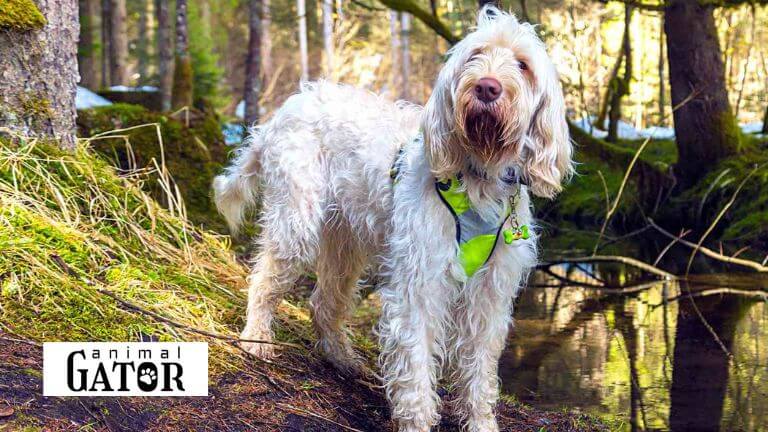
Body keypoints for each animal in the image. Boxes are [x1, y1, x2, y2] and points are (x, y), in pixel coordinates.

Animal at [213, 7, 572, 432]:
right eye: (476, 55)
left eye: (522, 65)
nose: (487, 87)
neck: (478, 177)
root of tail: (285, 109)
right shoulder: (419, 285)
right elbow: (415, 369)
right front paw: (417, 421)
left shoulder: (489, 295)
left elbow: (479, 371)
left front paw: (480, 421)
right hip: (296, 223)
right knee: (264, 280)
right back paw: (257, 338)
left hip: (345, 243)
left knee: (324, 302)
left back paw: (344, 360)